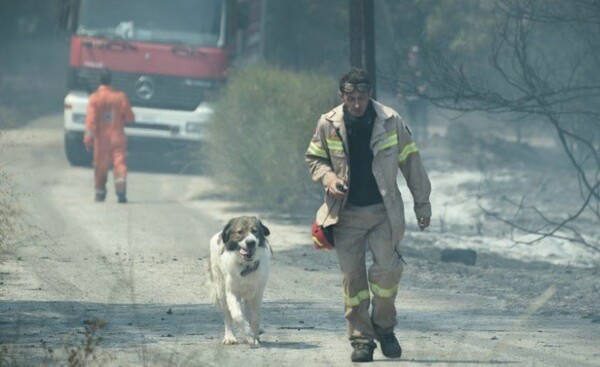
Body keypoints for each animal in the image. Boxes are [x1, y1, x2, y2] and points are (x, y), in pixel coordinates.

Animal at [207, 217, 270, 346]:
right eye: (240, 232)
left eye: (254, 231)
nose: (251, 242)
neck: (246, 266)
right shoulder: (231, 292)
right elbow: (237, 315)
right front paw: (248, 332)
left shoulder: (257, 294)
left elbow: (255, 317)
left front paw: (254, 336)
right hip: (221, 290)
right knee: (228, 315)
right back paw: (230, 337)